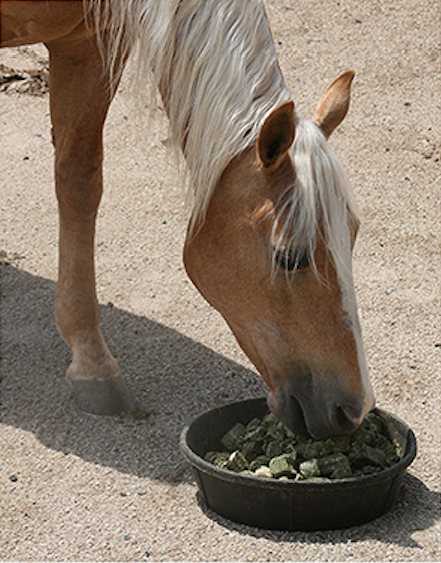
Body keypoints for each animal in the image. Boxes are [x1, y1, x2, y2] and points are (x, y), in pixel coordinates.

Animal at [0, 1, 374, 440]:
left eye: (352, 236)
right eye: (288, 257)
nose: (353, 411)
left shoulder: (86, 42)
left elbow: (78, 181)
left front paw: (91, 361)